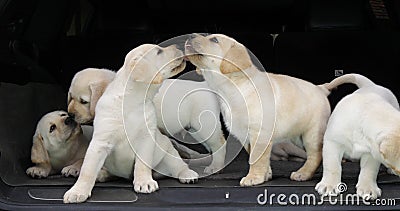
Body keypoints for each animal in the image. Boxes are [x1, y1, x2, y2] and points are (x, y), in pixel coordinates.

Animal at [63, 43, 198, 204]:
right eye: (159, 52)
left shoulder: (146, 139)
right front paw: (77, 191)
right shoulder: (100, 142)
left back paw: (187, 174)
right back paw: (102, 175)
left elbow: (142, 164)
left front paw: (145, 182)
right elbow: (87, 170)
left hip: (168, 154)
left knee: (178, 165)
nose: (178, 46)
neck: (132, 101)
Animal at [67, 68, 227, 174]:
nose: (70, 114)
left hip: (204, 125)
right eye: (71, 98)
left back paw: (215, 167)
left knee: (220, 143)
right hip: (196, 130)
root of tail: (203, 85)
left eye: (83, 101)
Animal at [184, 33, 340, 186]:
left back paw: (303, 173)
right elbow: (260, 158)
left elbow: (256, 159)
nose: (190, 36)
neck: (235, 86)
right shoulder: (246, 136)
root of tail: (321, 88)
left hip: (312, 133)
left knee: (315, 155)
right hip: (296, 136)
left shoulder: (259, 133)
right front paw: (266, 175)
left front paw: (253, 178)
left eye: (214, 40)